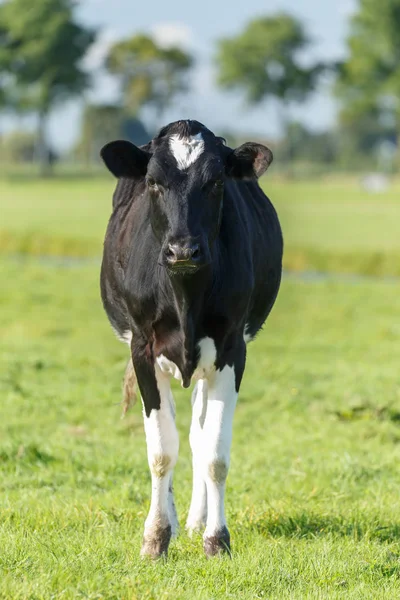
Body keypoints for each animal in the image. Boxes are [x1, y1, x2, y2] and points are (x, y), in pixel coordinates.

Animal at [99, 119, 282, 560]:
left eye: (215, 182)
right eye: (152, 181)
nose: (183, 249)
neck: (185, 295)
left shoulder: (232, 350)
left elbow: (214, 450)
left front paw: (216, 538)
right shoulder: (142, 350)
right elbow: (161, 450)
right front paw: (156, 536)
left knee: (198, 435)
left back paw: (198, 518)